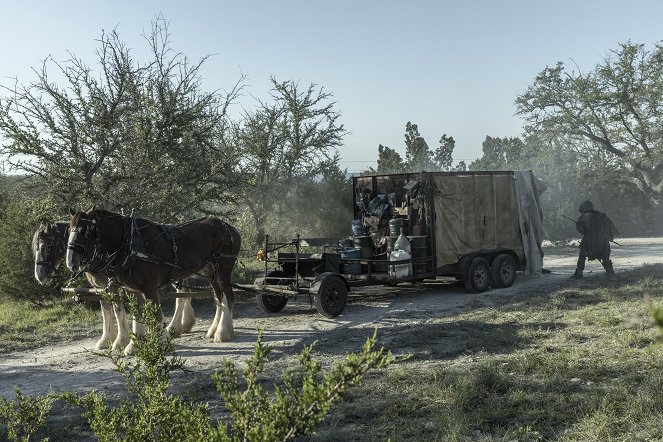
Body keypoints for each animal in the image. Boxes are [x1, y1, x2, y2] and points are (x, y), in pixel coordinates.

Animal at [31, 221, 197, 352]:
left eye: (47, 247)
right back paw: (184, 325)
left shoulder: (114, 287)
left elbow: (118, 311)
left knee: (181, 296)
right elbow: (106, 312)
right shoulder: (100, 287)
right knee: (184, 293)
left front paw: (121, 341)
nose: (40, 277)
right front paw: (106, 340)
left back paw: (173, 327)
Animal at [64, 208, 241, 356]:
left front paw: (158, 341)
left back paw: (222, 333)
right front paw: (132, 344)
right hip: (210, 272)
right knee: (217, 298)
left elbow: (153, 315)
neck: (131, 245)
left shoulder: (146, 288)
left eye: (85, 231)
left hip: (222, 270)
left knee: (227, 296)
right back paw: (212, 330)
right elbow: (135, 314)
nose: (71, 262)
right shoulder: (131, 290)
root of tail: (229, 228)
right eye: (68, 230)